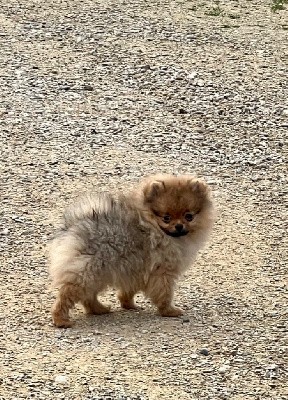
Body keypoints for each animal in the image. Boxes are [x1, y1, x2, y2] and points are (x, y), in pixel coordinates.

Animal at [48, 173, 214, 326]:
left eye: (189, 216)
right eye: (166, 218)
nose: (179, 226)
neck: (155, 227)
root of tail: (75, 224)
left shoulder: (136, 270)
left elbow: (128, 290)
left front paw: (129, 304)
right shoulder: (162, 272)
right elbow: (164, 293)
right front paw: (169, 311)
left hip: (98, 272)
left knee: (88, 296)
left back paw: (99, 309)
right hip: (88, 270)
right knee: (67, 293)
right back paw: (61, 319)